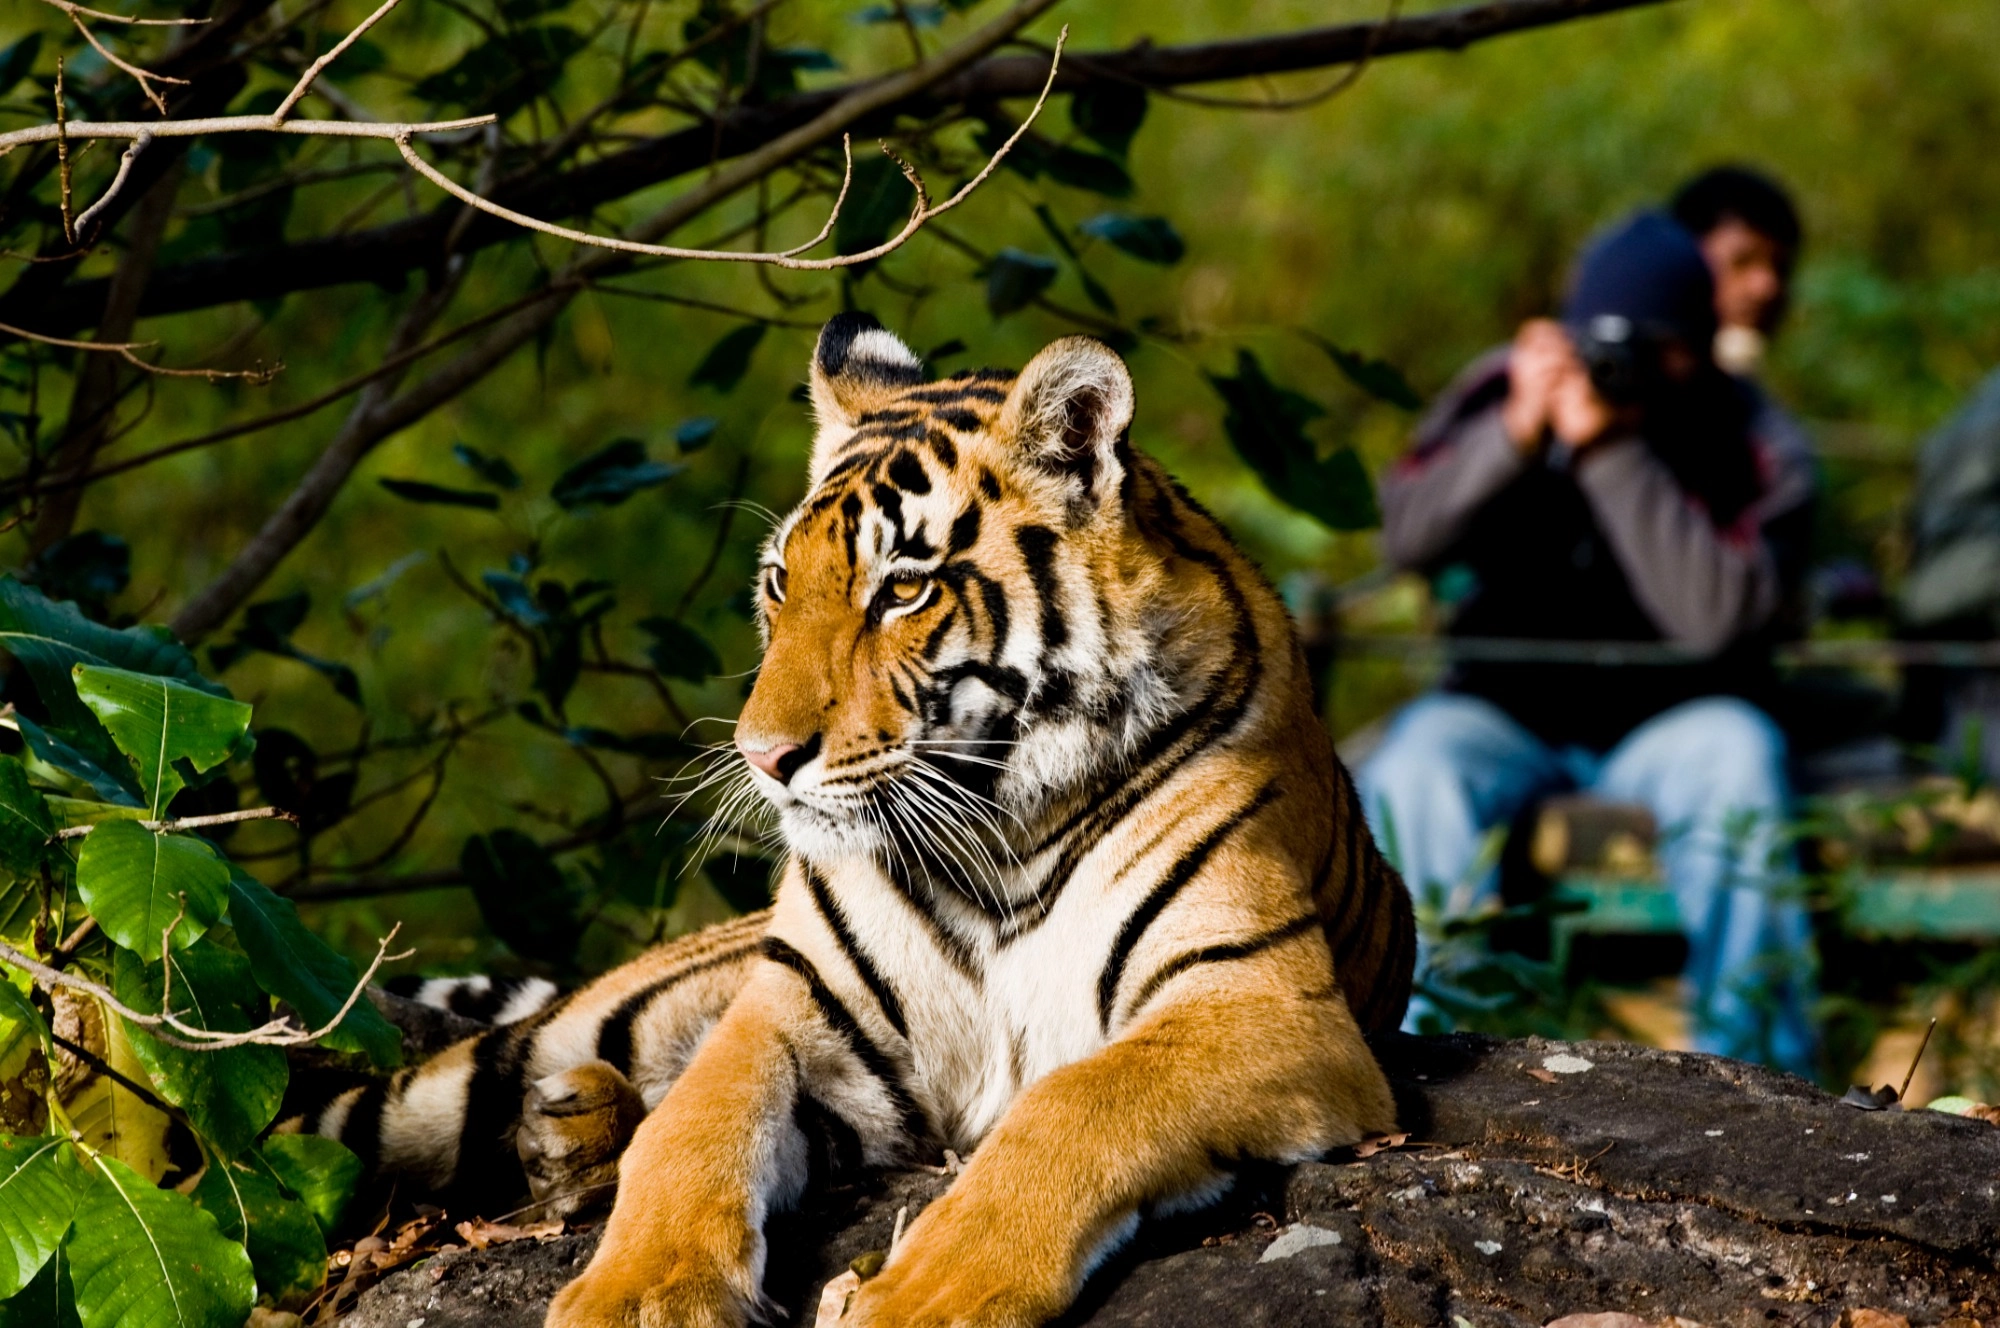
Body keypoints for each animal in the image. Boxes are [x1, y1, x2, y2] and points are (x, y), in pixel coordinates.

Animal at [301, 314, 1415, 1328]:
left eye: (904, 589)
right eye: (778, 582)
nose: (761, 755)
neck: (995, 831)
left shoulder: (1260, 1001)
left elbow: (1074, 1104)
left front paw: (927, 1293)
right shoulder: (788, 1007)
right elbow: (692, 1128)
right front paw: (635, 1294)